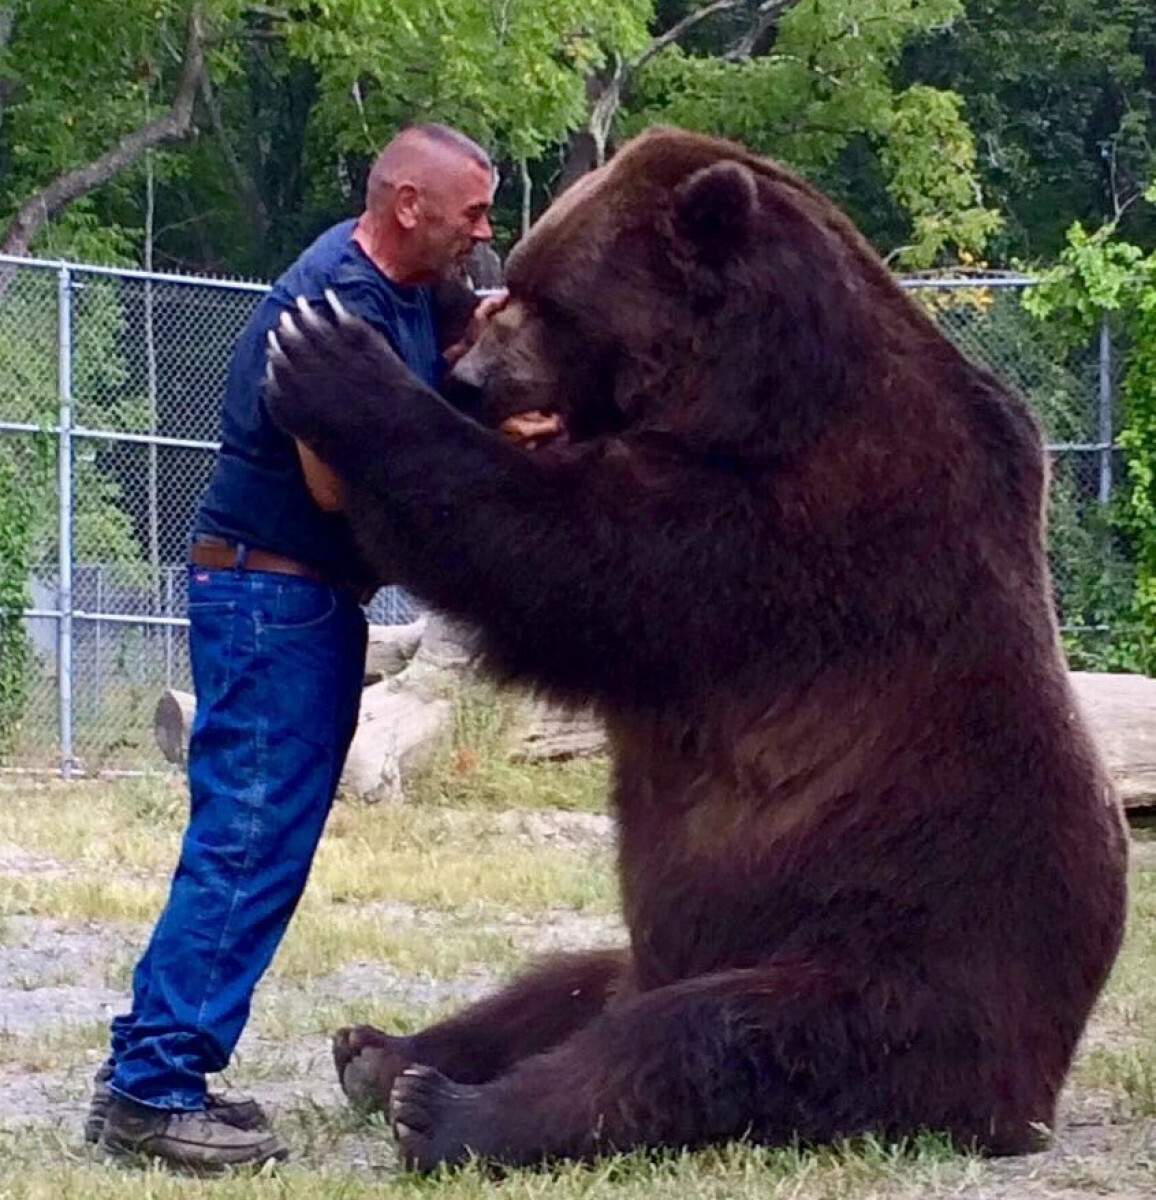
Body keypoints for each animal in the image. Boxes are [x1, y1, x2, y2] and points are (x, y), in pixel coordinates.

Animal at [264, 126, 1129, 1172]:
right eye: (517, 280)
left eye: (551, 299)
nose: (471, 377)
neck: (756, 393)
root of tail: (1041, 1085)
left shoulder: (789, 531)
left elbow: (561, 552)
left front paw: (335, 364)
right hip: (672, 954)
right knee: (564, 984)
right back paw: (383, 1052)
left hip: (897, 960)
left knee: (711, 1041)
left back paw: (449, 1111)